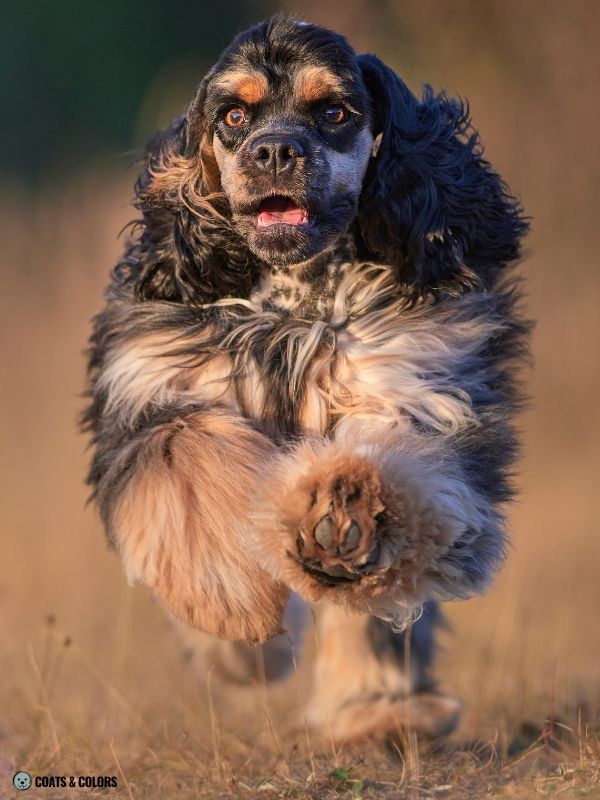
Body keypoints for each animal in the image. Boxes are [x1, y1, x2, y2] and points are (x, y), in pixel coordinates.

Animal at [82, 15, 528, 744]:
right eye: (234, 115)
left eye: (333, 112)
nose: (272, 152)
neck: (298, 299)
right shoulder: (159, 393)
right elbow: (186, 476)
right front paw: (232, 605)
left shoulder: (421, 391)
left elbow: (393, 468)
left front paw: (341, 504)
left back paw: (380, 707)